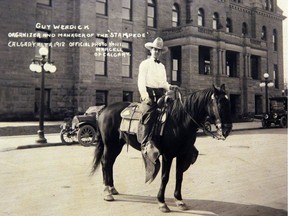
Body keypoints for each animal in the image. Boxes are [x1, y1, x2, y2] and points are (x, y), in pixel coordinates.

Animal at [91, 84, 233, 213]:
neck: (178, 121)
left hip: (117, 145)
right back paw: (107, 192)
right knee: (105, 162)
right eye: (220, 103)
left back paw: (112, 188)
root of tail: (104, 110)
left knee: (110, 163)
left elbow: (179, 176)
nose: (227, 129)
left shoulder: (182, 154)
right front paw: (162, 203)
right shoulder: (167, 155)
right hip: (110, 144)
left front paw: (179, 200)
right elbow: (165, 177)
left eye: (228, 102)